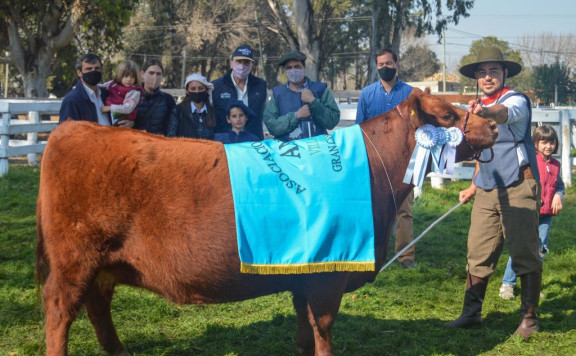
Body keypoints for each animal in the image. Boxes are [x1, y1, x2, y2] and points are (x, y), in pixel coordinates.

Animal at [36, 87, 498, 354]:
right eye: (448, 117)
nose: (494, 126)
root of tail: (76, 129)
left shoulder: (305, 273)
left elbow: (304, 329)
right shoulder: (329, 276)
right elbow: (322, 329)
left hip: (102, 264)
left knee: (98, 306)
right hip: (75, 259)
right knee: (60, 311)